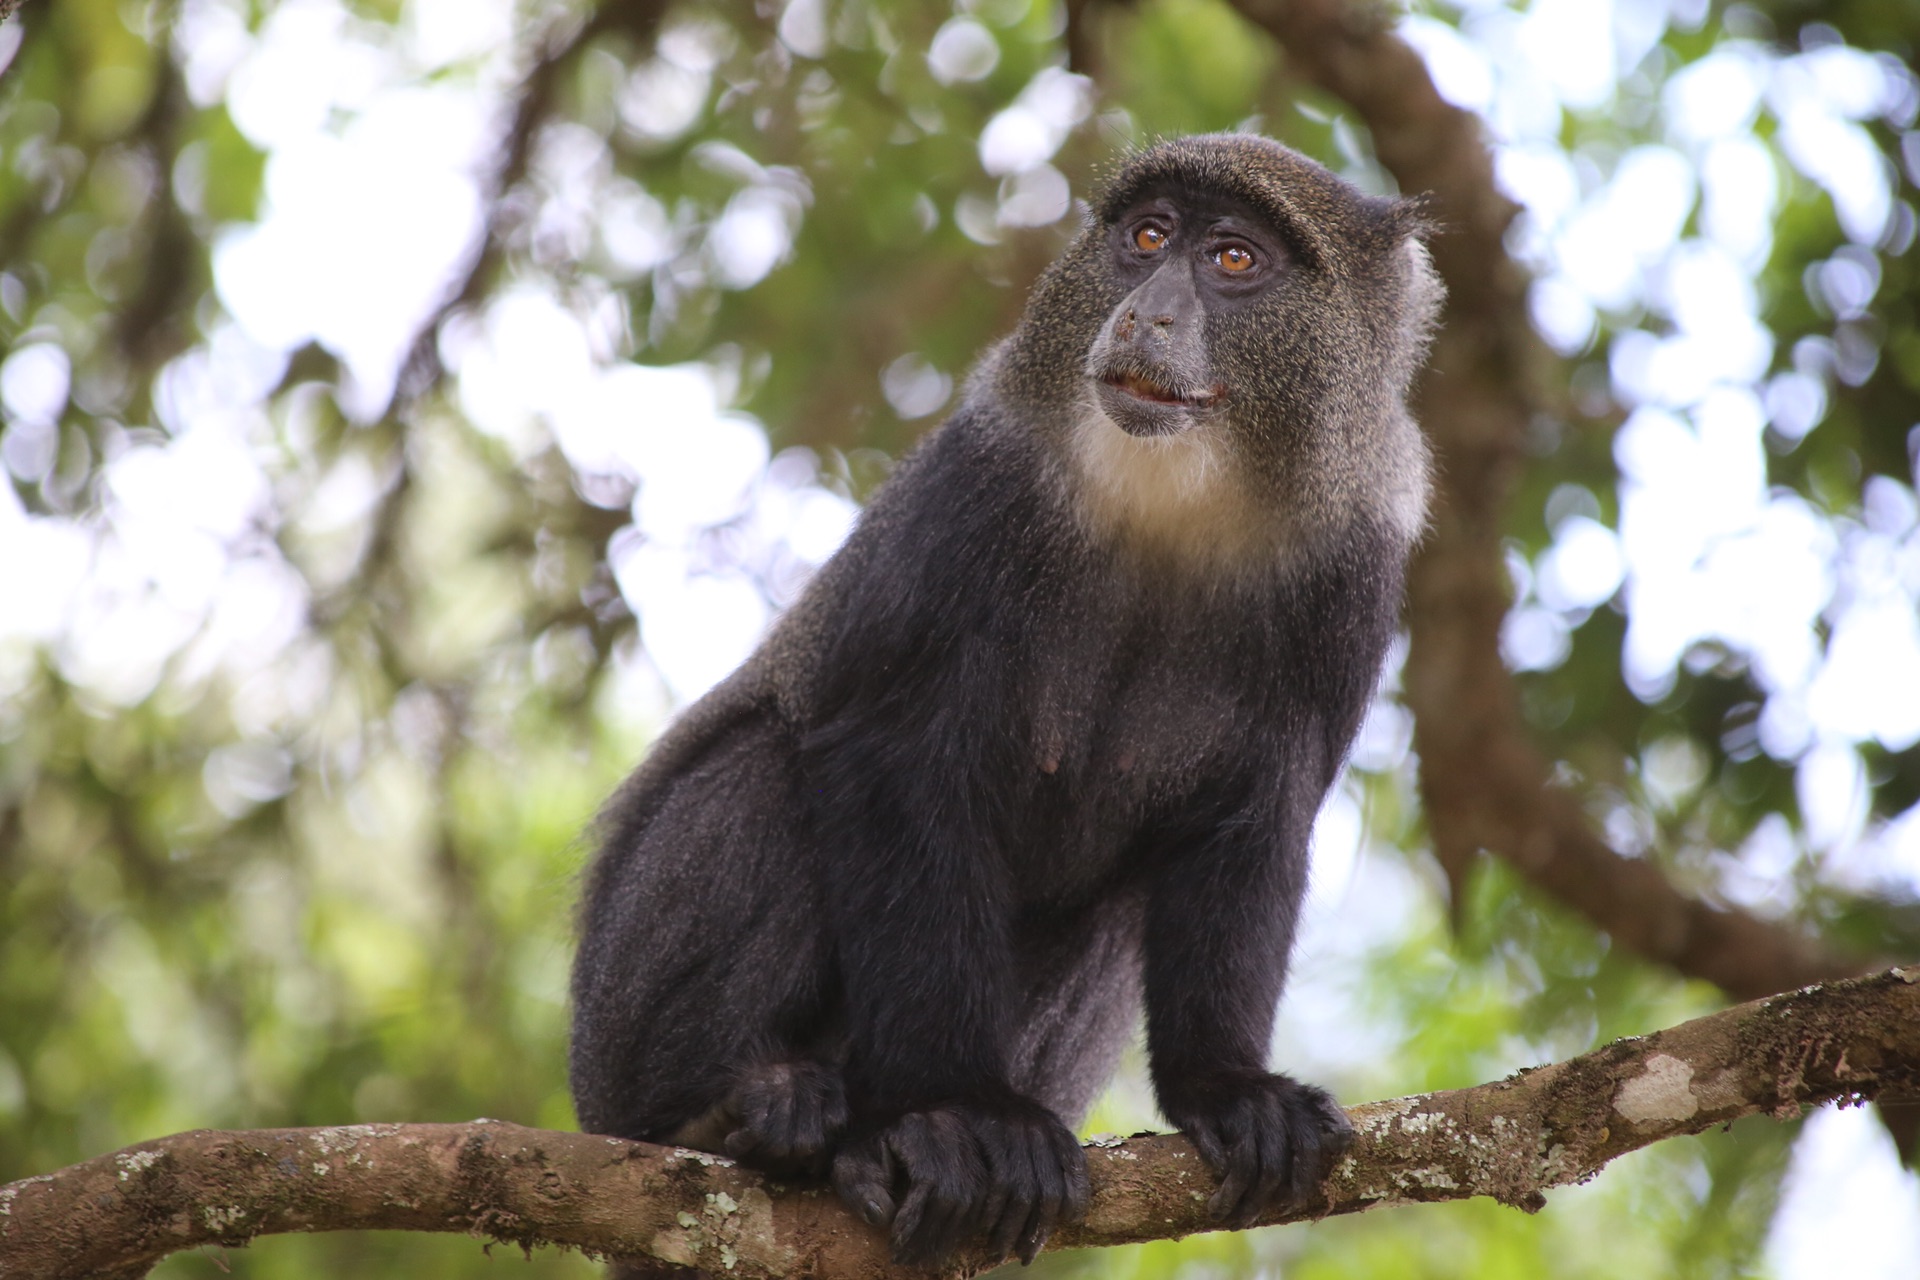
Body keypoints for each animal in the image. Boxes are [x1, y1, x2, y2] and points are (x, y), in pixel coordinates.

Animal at [568, 132, 1443, 1274]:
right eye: (1147, 237)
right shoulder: (977, 490)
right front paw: (958, 1117)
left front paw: (1229, 1089)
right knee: (767, 765)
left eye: (1234, 259)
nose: (1146, 313)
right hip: (618, 1042)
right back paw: (746, 1112)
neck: (1175, 507)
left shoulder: (1355, 571)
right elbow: (890, 757)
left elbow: (1255, 817)